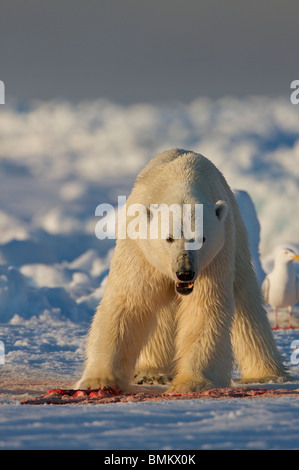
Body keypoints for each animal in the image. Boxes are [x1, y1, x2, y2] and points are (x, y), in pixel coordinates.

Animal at [76, 149, 288, 392]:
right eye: (169, 238)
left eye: (201, 238)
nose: (184, 272)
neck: (179, 180)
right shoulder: (139, 248)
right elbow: (128, 303)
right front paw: (98, 380)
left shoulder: (214, 258)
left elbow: (204, 308)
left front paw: (191, 382)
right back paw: (152, 372)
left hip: (235, 232)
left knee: (245, 299)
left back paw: (266, 373)